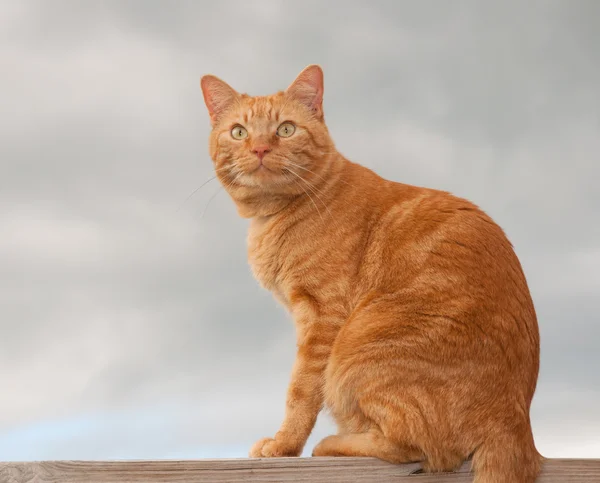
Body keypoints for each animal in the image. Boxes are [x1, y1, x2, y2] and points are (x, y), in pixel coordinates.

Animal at [199, 65, 540, 483]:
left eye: (285, 129)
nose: (260, 149)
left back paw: (332, 444)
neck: (275, 215)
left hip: (355, 352)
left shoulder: (322, 318)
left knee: (415, 448)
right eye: (239, 132)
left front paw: (284, 445)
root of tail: (515, 425)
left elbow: (301, 391)